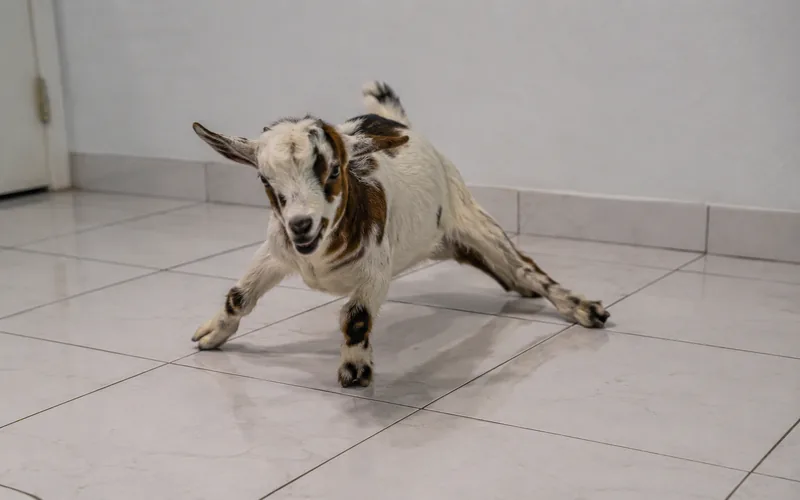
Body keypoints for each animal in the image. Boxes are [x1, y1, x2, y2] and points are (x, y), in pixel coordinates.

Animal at [191, 81, 609, 388]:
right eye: (264, 179)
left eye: (333, 170)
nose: (301, 224)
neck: (320, 257)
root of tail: (398, 122)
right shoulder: (278, 252)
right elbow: (239, 295)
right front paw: (212, 333)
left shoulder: (377, 270)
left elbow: (355, 315)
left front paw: (355, 370)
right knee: (510, 274)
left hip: (469, 216)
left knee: (524, 267)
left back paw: (583, 308)